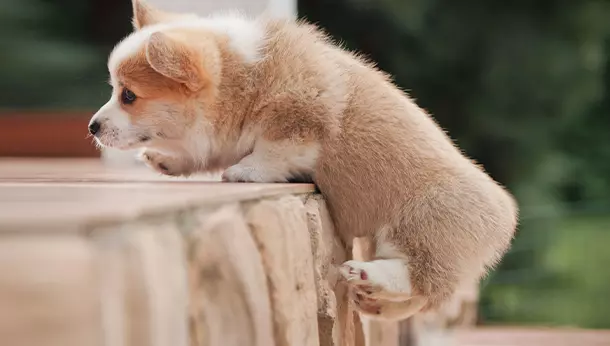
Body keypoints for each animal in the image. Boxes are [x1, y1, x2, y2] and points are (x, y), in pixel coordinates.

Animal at [89, 0, 516, 322]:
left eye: (128, 96)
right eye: (114, 90)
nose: (92, 127)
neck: (241, 76)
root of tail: (507, 218)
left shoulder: (299, 121)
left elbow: (272, 151)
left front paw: (244, 172)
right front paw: (166, 160)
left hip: (424, 223)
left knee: (418, 280)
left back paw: (366, 271)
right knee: (418, 298)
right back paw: (372, 297)